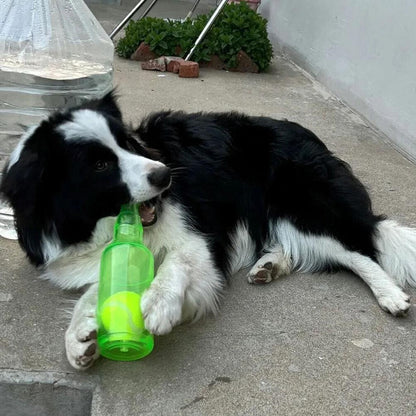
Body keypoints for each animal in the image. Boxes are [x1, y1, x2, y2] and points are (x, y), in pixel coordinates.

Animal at [0, 92, 416, 368]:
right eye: (100, 165)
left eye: (126, 143)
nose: (165, 175)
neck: (88, 226)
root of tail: (309, 135)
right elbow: (99, 289)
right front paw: (79, 337)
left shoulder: (201, 238)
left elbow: (178, 263)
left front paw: (157, 306)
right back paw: (268, 266)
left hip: (303, 206)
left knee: (360, 249)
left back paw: (391, 296)